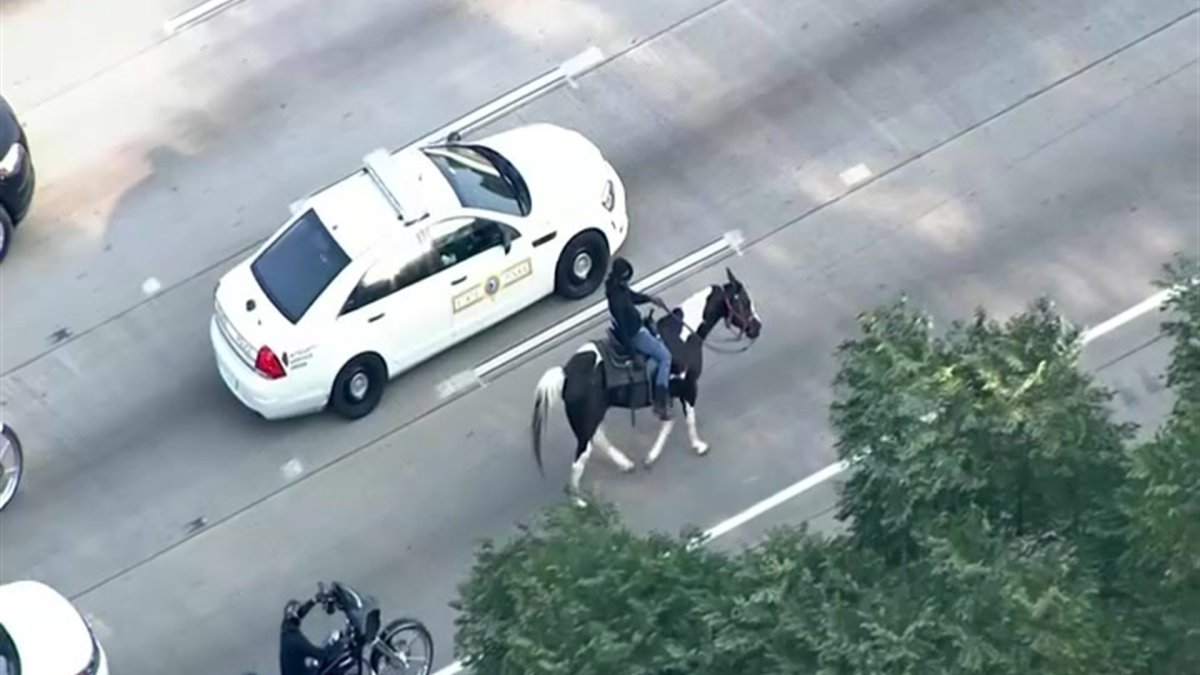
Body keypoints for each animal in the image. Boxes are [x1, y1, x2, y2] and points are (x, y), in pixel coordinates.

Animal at [530, 265, 763, 502]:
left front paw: (651, 456)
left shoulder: (669, 393)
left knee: (598, 441)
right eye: (743, 301)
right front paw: (698, 446)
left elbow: (668, 423)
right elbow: (688, 419)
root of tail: (566, 374)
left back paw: (625, 464)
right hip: (587, 423)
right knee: (579, 461)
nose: (757, 327)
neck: (683, 337)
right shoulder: (688, 387)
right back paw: (579, 501)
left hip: (591, 419)